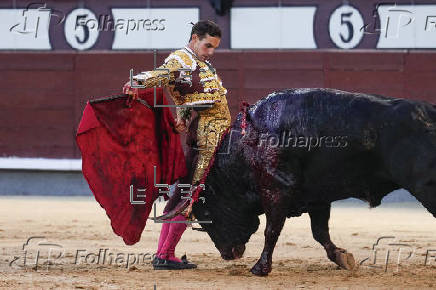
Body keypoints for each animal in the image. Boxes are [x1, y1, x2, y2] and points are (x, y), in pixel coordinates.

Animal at [158, 88, 434, 276]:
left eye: (207, 215)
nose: (228, 254)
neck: (248, 146)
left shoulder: (275, 191)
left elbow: (271, 230)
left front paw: (260, 267)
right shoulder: (318, 197)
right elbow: (320, 232)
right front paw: (342, 258)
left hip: (425, 187)